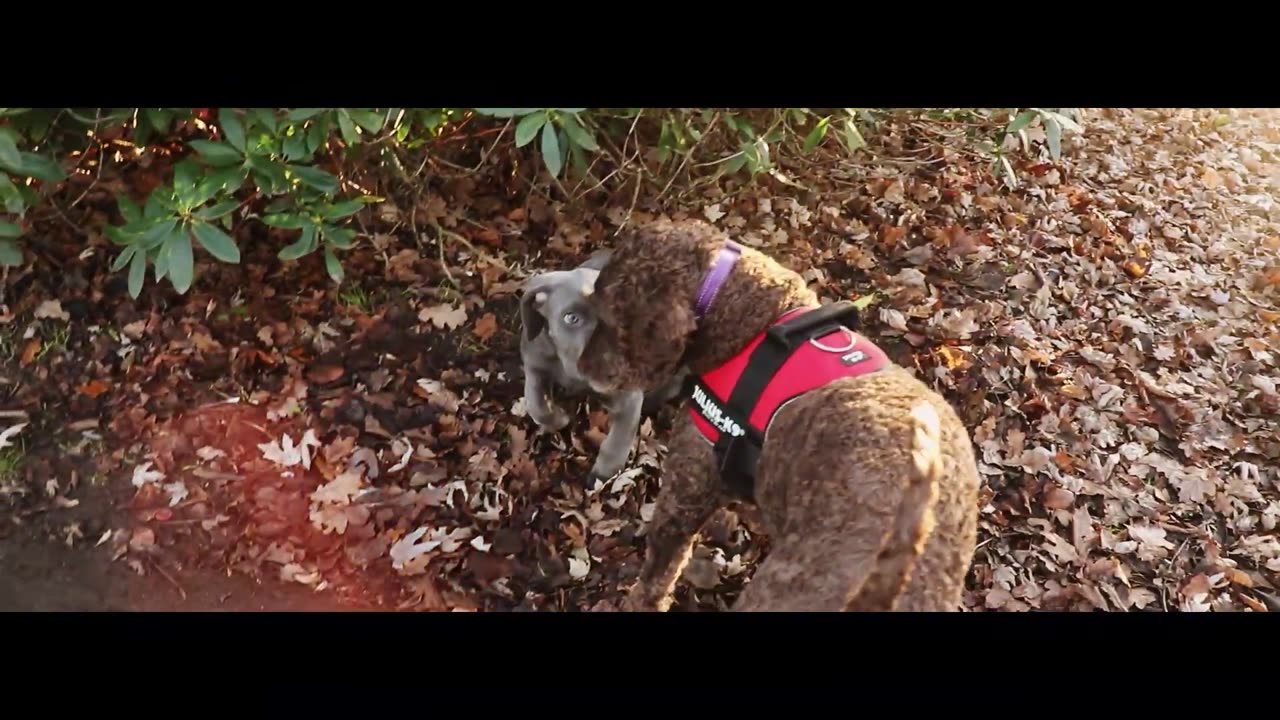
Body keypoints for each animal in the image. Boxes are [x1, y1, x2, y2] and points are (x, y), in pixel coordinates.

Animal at [519, 249, 686, 479]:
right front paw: (558, 418)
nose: (610, 369)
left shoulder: (628, 399)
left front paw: (604, 473)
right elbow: (536, 405)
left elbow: (618, 440)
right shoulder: (535, 362)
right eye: (571, 318)